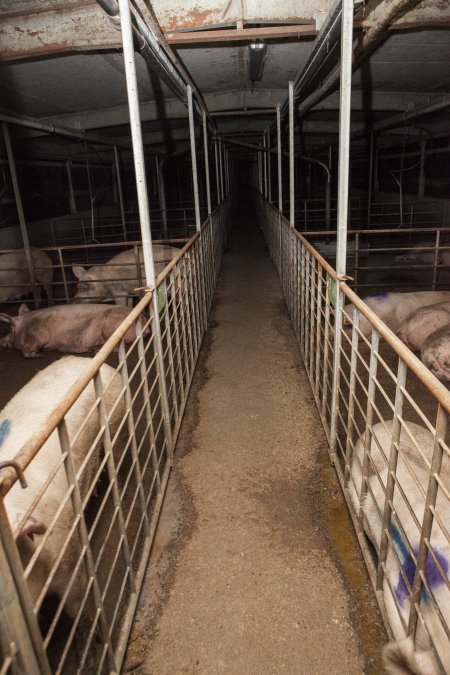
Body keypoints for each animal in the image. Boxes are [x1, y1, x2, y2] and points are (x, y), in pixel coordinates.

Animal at [0, 304, 142, 360]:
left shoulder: (38, 334)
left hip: (110, 328)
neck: (25, 326)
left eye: (11, 328)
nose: (1, 341)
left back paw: (93, 351)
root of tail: (144, 319)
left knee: (115, 347)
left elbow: (26, 352)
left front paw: (40, 355)